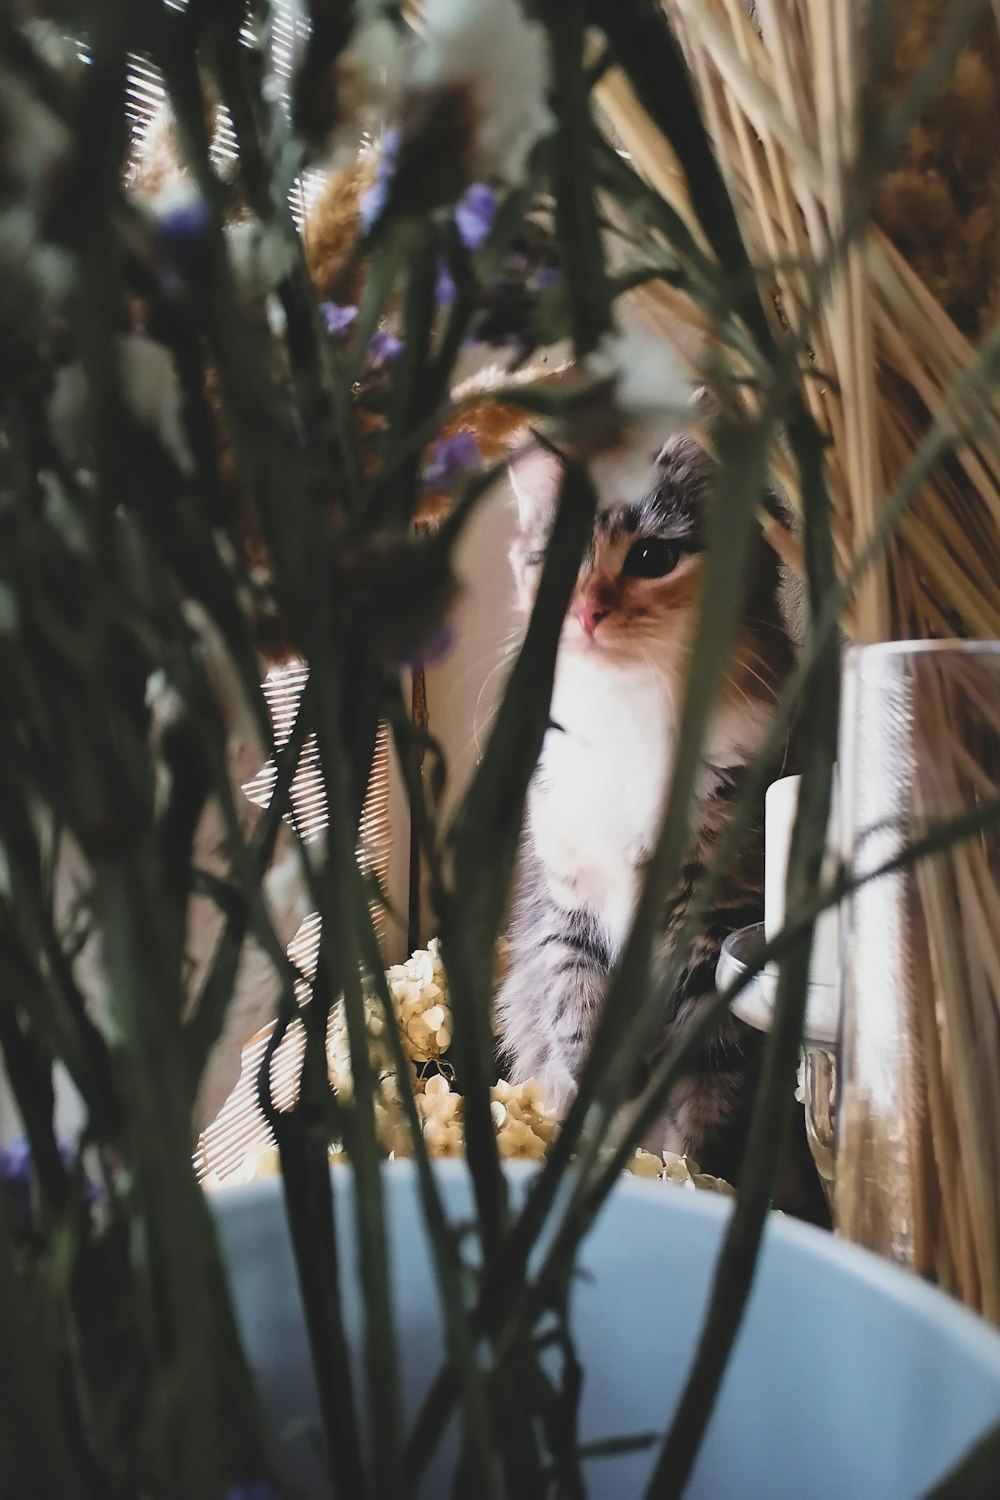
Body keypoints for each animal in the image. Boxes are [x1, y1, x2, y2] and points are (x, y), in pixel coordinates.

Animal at [497, 429, 803, 1188]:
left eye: (650, 559)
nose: (583, 612)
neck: (625, 712)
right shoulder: (569, 905)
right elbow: (579, 1016)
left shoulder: (714, 921)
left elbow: (703, 1085)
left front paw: (687, 1174)